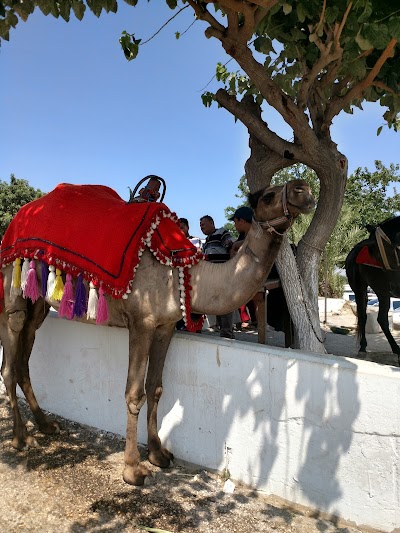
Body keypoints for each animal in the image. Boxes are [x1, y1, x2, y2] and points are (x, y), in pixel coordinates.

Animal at [0, 179, 314, 482]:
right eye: (268, 196)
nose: (304, 190)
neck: (184, 274)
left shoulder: (165, 327)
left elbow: (156, 387)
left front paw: (158, 454)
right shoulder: (142, 322)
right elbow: (134, 392)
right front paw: (132, 468)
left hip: (38, 301)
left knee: (26, 351)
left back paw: (45, 424)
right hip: (11, 283)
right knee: (10, 355)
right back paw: (20, 437)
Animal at [344, 216, 400, 362]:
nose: (395, 287)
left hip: (382, 291)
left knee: (382, 319)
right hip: (360, 289)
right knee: (364, 317)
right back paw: (364, 348)